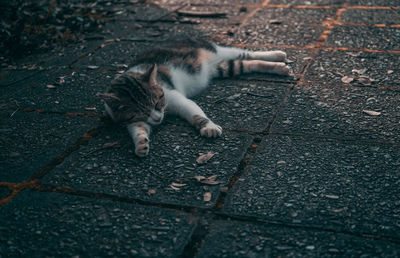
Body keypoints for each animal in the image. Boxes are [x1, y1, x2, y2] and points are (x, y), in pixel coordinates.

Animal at [98, 37, 290, 156]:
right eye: (141, 112)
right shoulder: (132, 120)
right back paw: (279, 66)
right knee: (246, 63)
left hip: (217, 51)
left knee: (246, 52)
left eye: (158, 102)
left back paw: (278, 55)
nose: (159, 118)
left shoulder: (177, 98)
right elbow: (138, 129)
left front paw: (209, 127)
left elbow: (195, 113)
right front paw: (141, 144)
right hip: (222, 68)